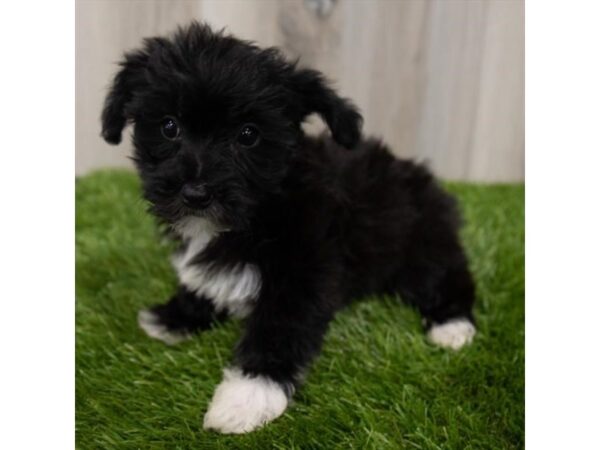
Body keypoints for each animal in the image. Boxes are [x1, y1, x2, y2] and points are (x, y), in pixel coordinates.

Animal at [103, 22, 478, 434]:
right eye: (169, 126)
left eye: (248, 135)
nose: (196, 193)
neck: (257, 212)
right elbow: (201, 281)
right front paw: (175, 317)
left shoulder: (304, 271)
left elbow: (279, 328)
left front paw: (247, 396)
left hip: (420, 242)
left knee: (446, 277)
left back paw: (452, 326)